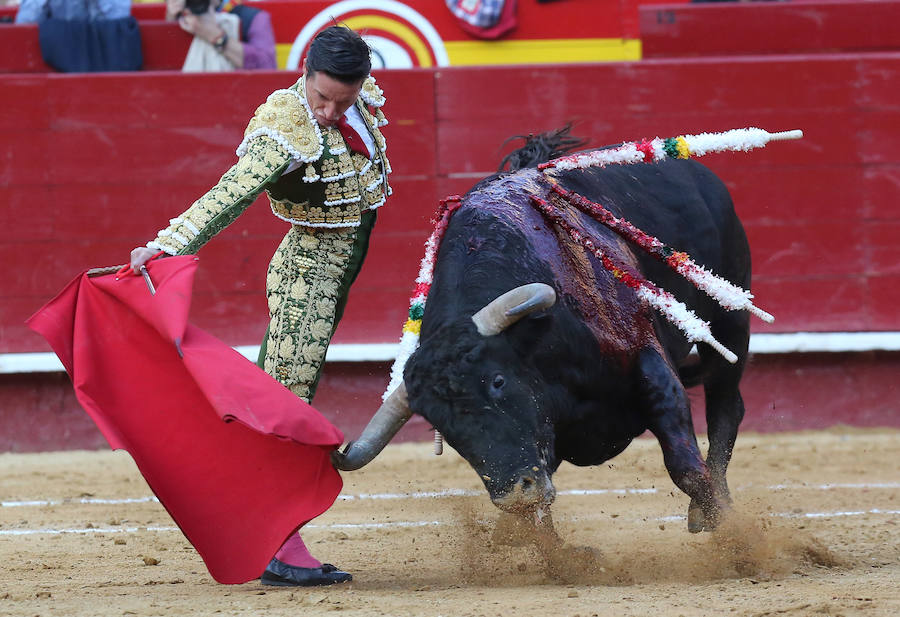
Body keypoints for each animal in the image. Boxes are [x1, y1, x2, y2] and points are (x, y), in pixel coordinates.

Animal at [334, 155, 748, 536]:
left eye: (497, 380)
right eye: (440, 423)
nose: (516, 494)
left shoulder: (648, 361)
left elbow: (685, 466)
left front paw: (732, 536)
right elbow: (539, 510)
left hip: (731, 318)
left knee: (726, 406)